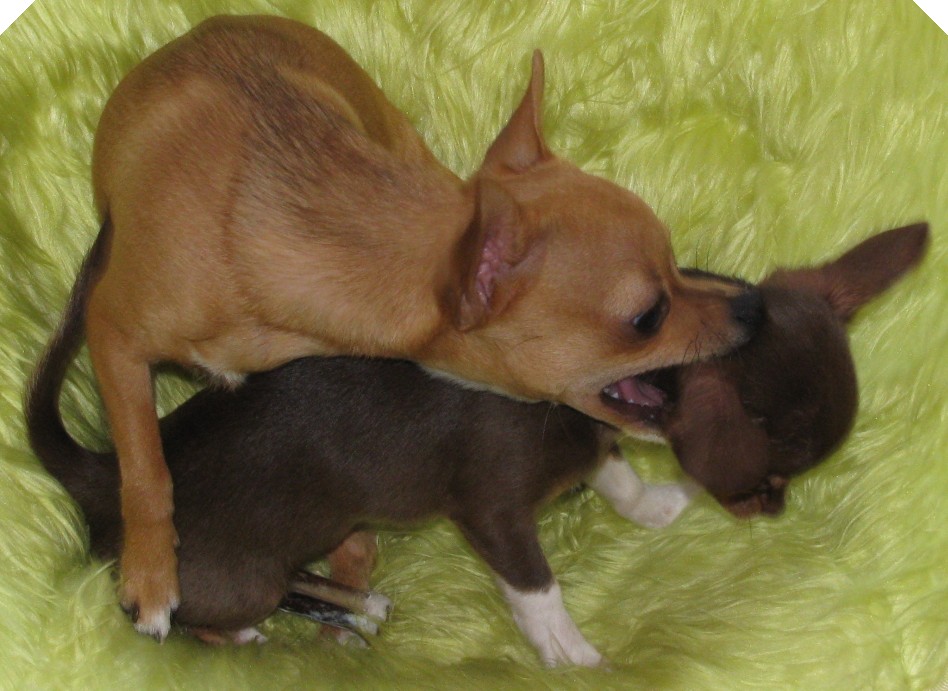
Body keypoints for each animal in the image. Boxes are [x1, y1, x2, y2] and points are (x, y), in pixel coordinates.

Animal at [27, 224, 925, 666]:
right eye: (765, 482)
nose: (773, 512)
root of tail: (110, 474)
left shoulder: (595, 446)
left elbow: (622, 483)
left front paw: (660, 507)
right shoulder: (493, 514)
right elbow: (539, 588)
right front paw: (567, 650)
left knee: (314, 576)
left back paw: (358, 604)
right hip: (232, 576)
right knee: (220, 613)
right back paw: (253, 633)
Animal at [41, 14, 761, 636]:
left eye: (676, 264)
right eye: (648, 317)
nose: (749, 307)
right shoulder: (113, 333)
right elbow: (144, 461)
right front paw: (152, 570)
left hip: (393, 128)